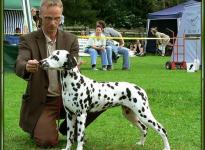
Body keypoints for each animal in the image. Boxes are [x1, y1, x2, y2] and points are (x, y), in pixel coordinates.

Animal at [39, 50, 170, 150]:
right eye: (50, 55)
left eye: (55, 57)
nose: (40, 62)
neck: (73, 83)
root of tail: (140, 89)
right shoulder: (70, 115)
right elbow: (70, 137)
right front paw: (67, 148)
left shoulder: (81, 115)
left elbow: (80, 136)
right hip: (130, 114)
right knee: (144, 128)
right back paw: (141, 144)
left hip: (144, 114)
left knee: (162, 129)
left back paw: (166, 147)